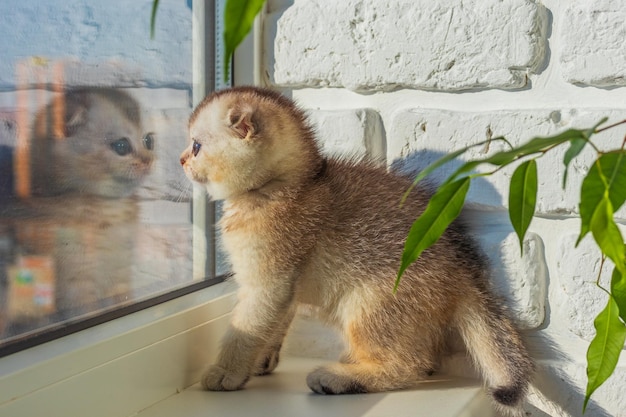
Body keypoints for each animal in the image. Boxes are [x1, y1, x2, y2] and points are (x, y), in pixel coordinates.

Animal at [179, 86, 532, 414]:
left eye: (196, 146)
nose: (181, 160)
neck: (286, 185)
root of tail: (465, 267)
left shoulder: (267, 281)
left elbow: (246, 329)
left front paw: (226, 371)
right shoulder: (284, 288)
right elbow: (274, 323)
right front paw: (261, 360)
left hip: (368, 303)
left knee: (410, 365)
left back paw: (339, 378)